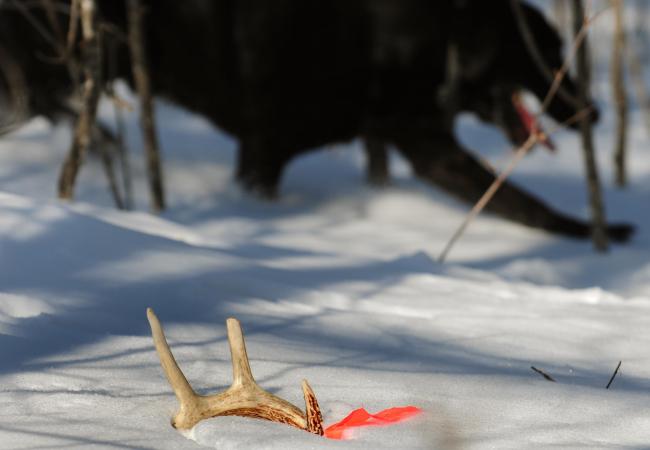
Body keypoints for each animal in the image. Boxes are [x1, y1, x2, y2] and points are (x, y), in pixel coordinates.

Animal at [0, 1, 628, 241]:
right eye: (551, 54)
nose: (594, 110)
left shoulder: (414, 138)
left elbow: (516, 201)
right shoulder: (265, 148)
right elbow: (527, 202)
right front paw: (604, 234)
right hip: (34, 78)